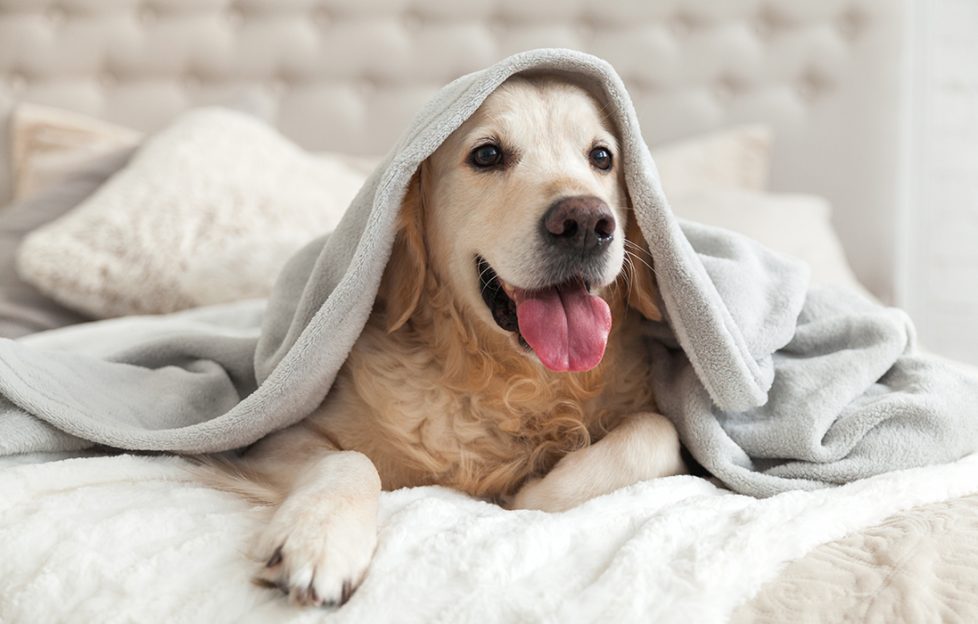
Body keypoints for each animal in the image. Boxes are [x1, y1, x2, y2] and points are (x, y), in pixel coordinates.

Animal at [211, 73, 692, 604]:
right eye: (487, 154)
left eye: (602, 157)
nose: (586, 222)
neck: (510, 381)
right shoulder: (270, 439)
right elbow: (350, 459)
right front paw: (318, 537)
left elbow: (658, 432)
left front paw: (535, 490)